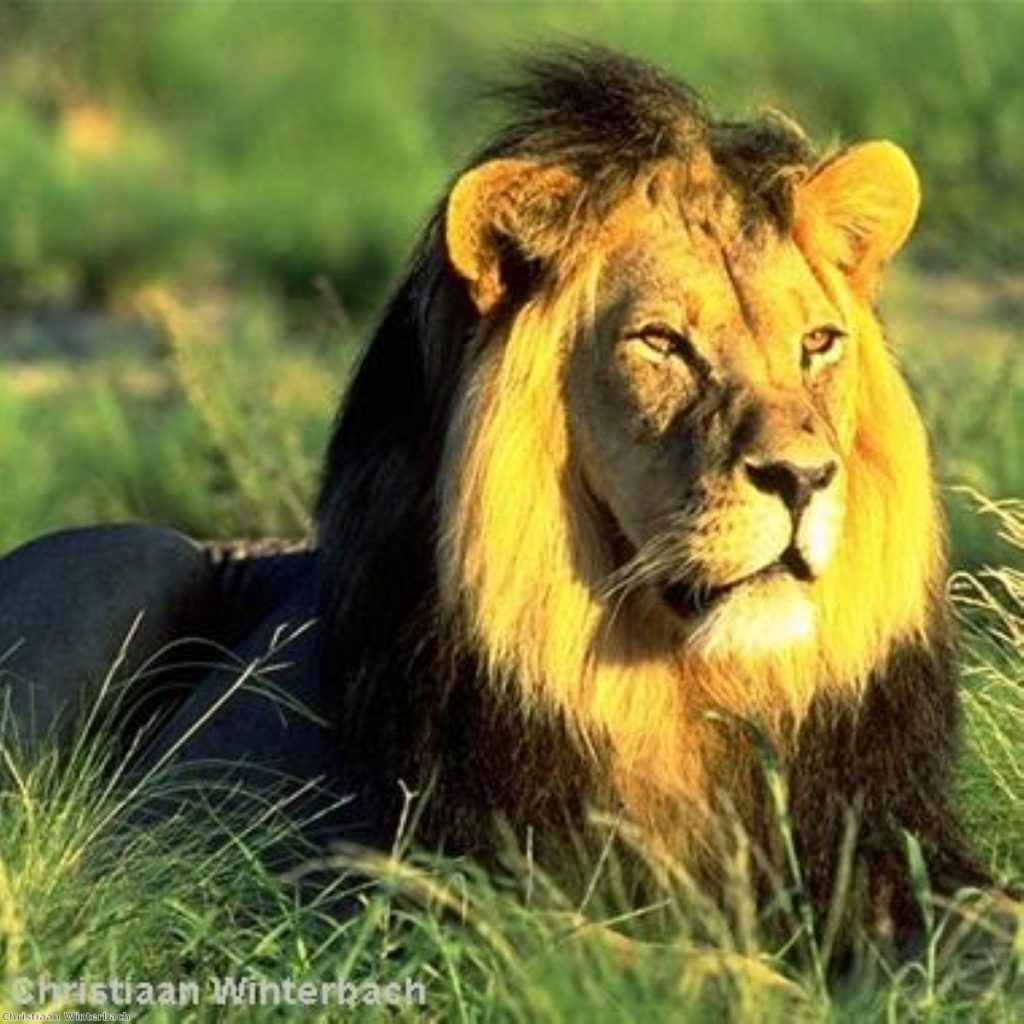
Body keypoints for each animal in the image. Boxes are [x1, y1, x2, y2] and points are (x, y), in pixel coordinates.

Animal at [0, 49, 1004, 958]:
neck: (685, 680)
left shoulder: (885, 842)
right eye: (661, 343)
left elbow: (994, 920)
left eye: (819, 344)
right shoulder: (436, 895)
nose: (801, 478)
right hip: (132, 555)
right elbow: (661, 961)